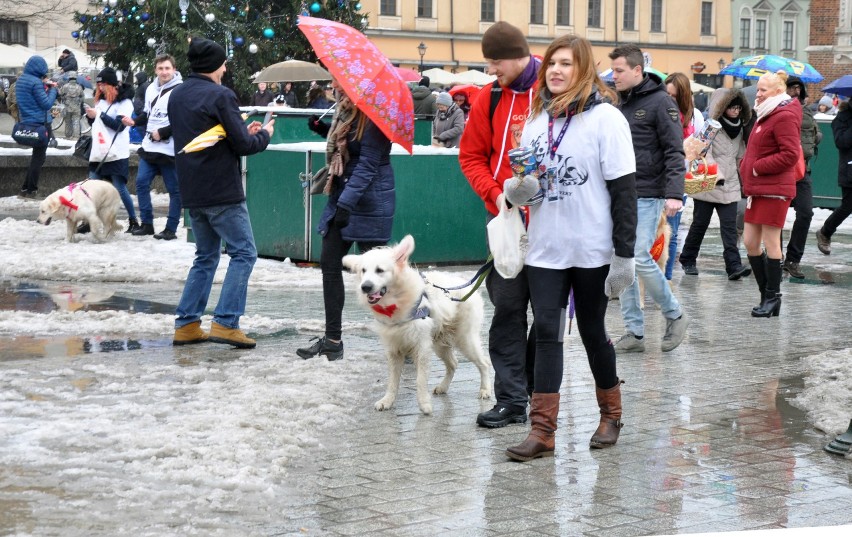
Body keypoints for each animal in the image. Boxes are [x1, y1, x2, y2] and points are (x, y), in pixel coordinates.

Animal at [342, 234, 492, 414]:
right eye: (363, 271)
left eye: (379, 270)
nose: (365, 287)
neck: (397, 301)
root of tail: (469, 288)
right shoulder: (393, 348)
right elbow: (392, 381)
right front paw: (387, 400)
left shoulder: (422, 347)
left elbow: (420, 379)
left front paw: (424, 404)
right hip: (438, 343)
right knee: (453, 364)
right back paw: (443, 387)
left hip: (464, 339)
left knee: (484, 363)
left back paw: (485, 389)